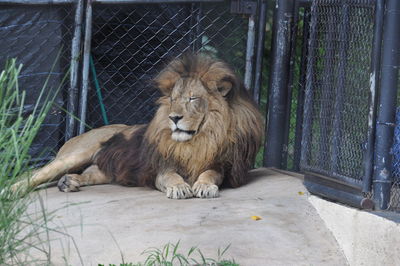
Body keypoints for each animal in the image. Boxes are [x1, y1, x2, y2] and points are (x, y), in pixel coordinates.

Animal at [13, 54, 262, 198]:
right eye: (173, 99)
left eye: (192, 99)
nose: (173, 117)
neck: (201, 139)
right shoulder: (159, 168)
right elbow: (170, 177)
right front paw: (179, 187)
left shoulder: (222, 165)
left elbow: (210, 173)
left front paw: (204, 186)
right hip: (76, 154)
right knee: (30, 176)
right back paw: (12, 193)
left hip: (105, 170)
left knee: (88, 173)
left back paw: (69, 182)